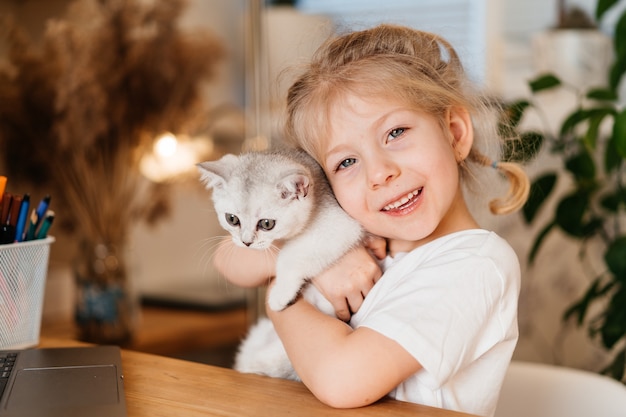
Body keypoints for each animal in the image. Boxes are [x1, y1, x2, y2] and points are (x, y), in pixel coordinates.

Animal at [195, 148, 360, 378]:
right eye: (232, 219)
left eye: (266, 224)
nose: (246, 242)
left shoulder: (341, 226)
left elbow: (290, 255)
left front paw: (279, 294)